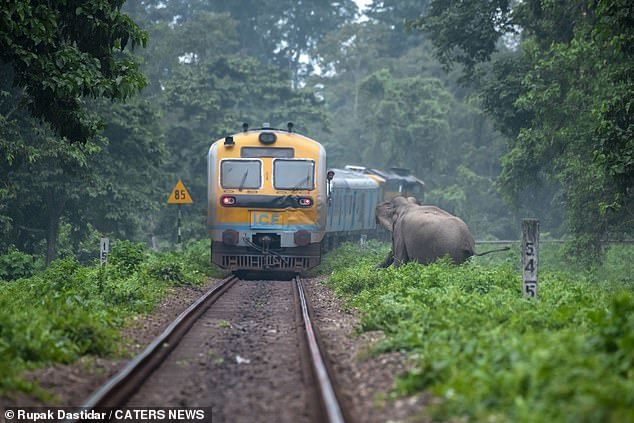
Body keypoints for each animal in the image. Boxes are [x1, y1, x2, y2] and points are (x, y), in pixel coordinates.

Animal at [376, 196, 508, 268]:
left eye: (392, 238)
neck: (407, 204)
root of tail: (468, 240)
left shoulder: (400, 231)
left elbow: (400, 261)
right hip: (463, 256)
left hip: (449, 251)